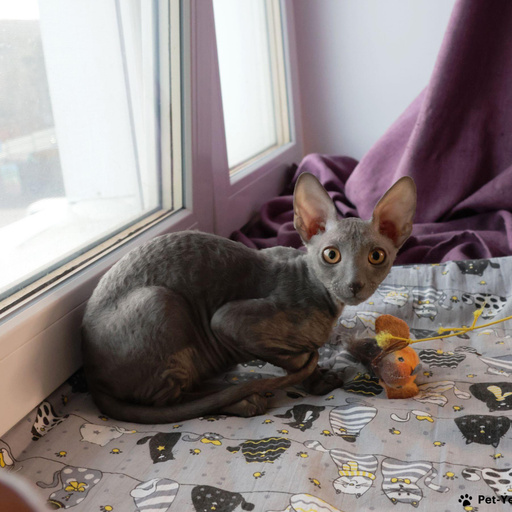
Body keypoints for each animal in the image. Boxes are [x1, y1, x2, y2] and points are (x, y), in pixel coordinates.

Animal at [81, 172, 416, 423]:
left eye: (376, 256)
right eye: (331, 255)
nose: (354, 284)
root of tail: (92, 375)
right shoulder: (227, 321)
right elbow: (296, 359)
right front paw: (314, 373)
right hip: (159, 301)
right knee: (170, 401)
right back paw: (241, 400)